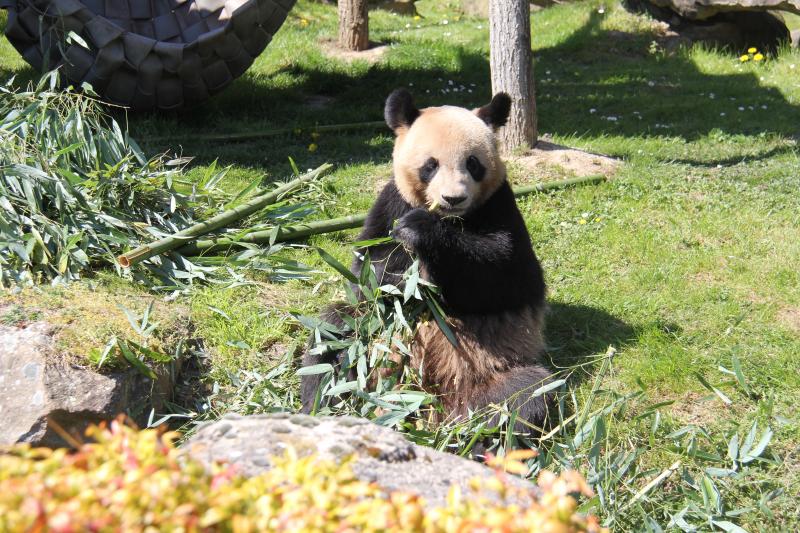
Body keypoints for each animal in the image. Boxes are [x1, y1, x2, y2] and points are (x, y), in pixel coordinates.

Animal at [300, 87, 556, 428]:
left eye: (473, 164)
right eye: (430, 165)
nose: (453, 198)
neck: (452, 220)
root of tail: (427, 404)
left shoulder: (500, 205)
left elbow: (508, 277)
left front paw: (423, 234)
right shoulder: (392, 202)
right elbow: (367, 271)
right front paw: (406, 277)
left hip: (489, 376)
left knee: (525, 397)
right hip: (361, 344)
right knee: (331, 337)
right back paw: (321, 406)